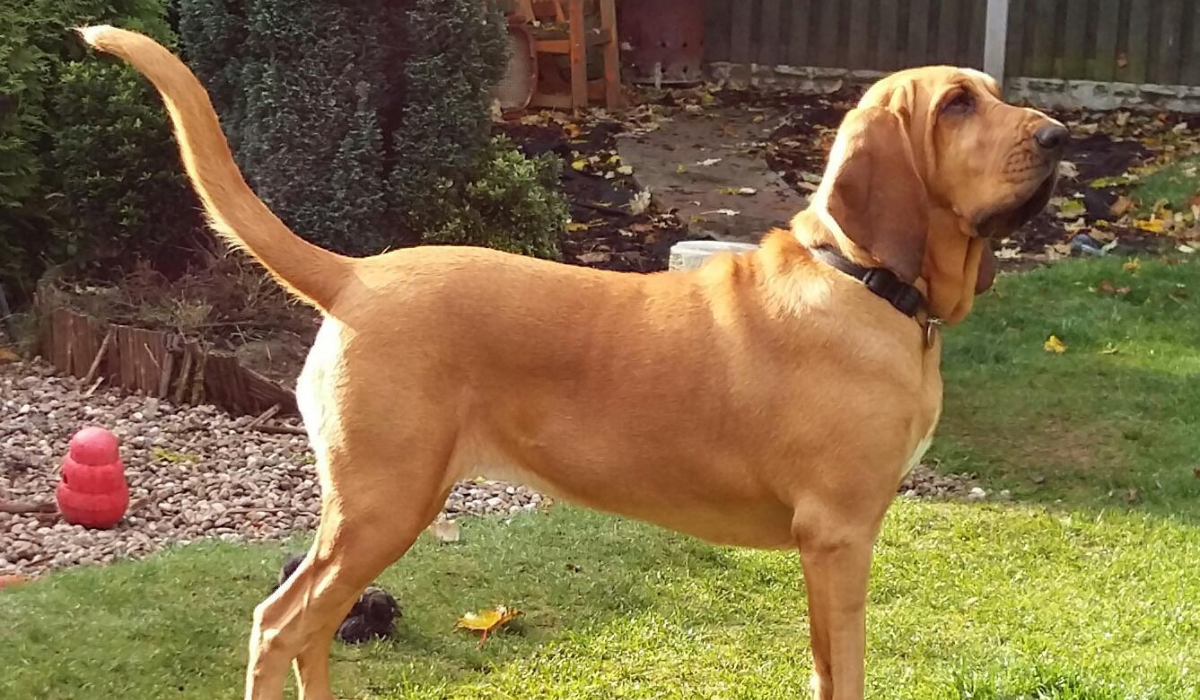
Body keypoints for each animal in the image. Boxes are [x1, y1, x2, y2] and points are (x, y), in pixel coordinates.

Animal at [79, 27, 1065, 700]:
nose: (1058, 137)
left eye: (992, 94)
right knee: (278, 625)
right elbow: (844, 672)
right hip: (382, 507)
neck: (863, 278)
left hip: (372, 516)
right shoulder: (838, 538)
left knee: (307, 628)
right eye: (956, 106)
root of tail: (355, 275)